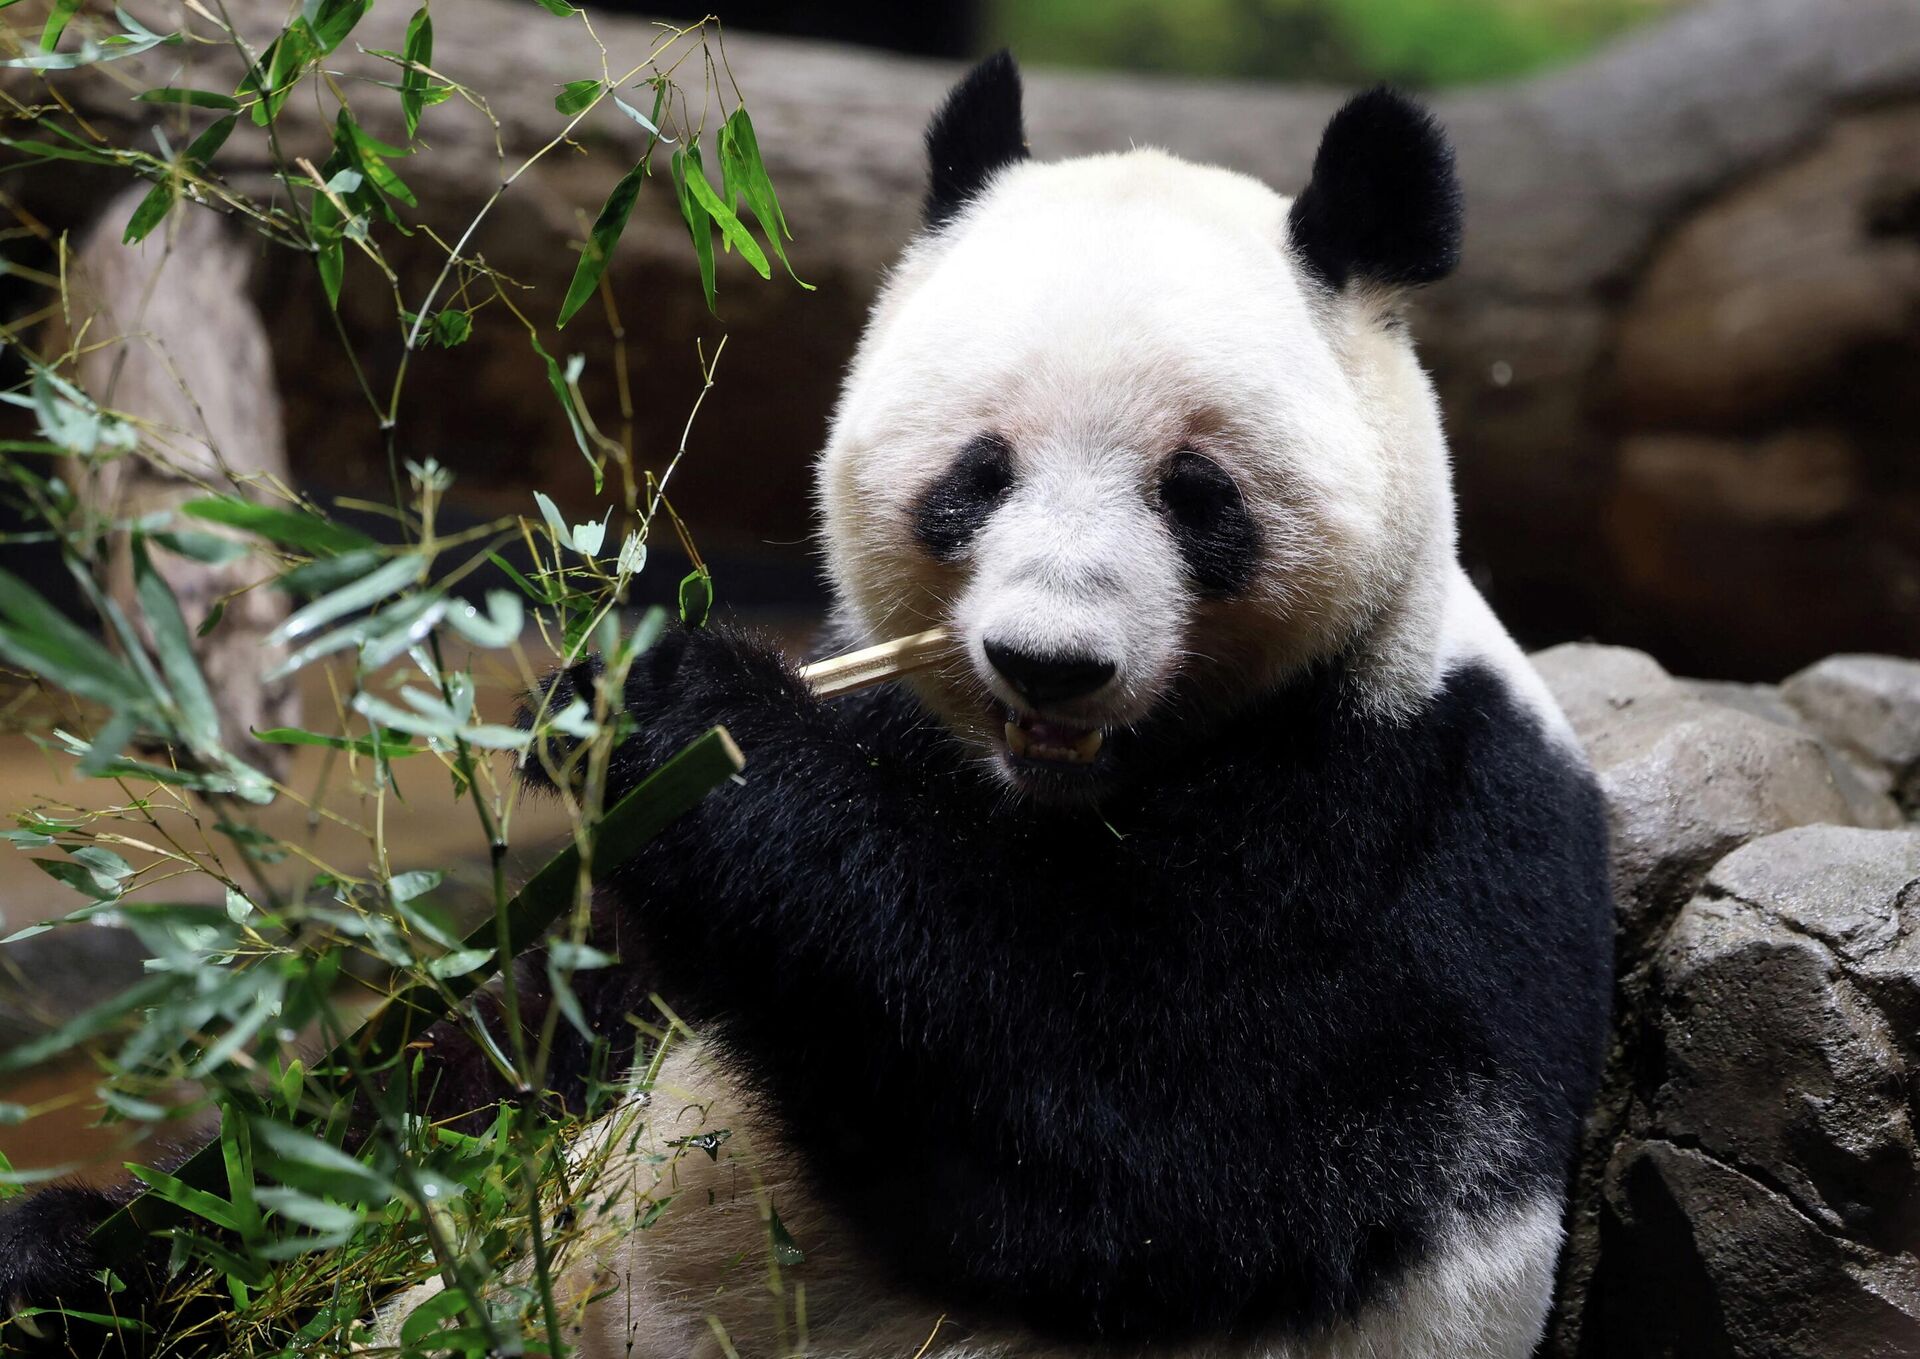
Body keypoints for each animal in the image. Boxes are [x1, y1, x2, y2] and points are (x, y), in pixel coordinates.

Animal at [1, 53, 1613, 1359]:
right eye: (977, 475)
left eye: (1196, 493)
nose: (1049, 663)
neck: (1059, 789)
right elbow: (482, 1053)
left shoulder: (1393, 822)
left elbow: (1139, 1137)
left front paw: (684, 707)